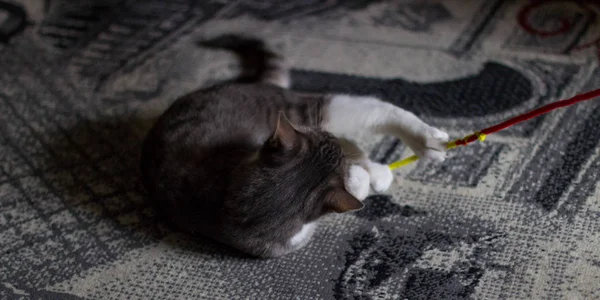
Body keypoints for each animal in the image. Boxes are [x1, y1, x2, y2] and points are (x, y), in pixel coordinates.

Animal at [141, 35, 448, 258]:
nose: (328, 136)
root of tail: (247, 84)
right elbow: (354, 181)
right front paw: (361, 177)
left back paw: (426, 141)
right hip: (305, 111)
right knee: (372, 113)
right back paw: (398, 161)